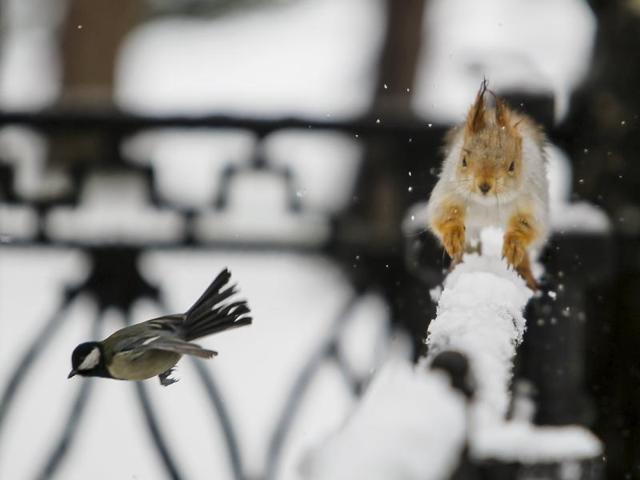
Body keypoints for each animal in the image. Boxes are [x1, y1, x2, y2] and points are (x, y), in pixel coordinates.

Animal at [426, 80, 549, 289]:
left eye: (512, 166)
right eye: (464, 160)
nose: (484, 185)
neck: (488, 205)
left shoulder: (531, 202)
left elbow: (528, 226)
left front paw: (514, 245)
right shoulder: (449, 192)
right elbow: (443, 215)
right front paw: (453, 236)